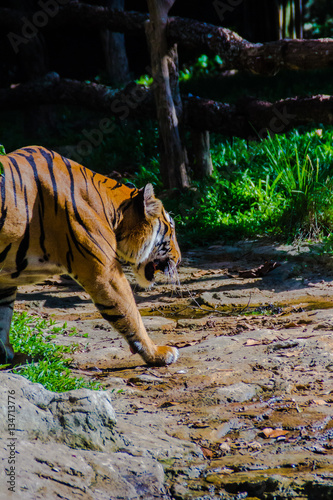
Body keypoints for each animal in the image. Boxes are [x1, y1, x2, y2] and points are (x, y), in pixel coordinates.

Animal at [0, 145, 179, 368]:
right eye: (171, 228)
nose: (179, 258)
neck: (114, 212)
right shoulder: (104, 274)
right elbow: (131, 314)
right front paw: (158, 354)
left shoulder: (5, 279)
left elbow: (3, 315)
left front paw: (4, 353)